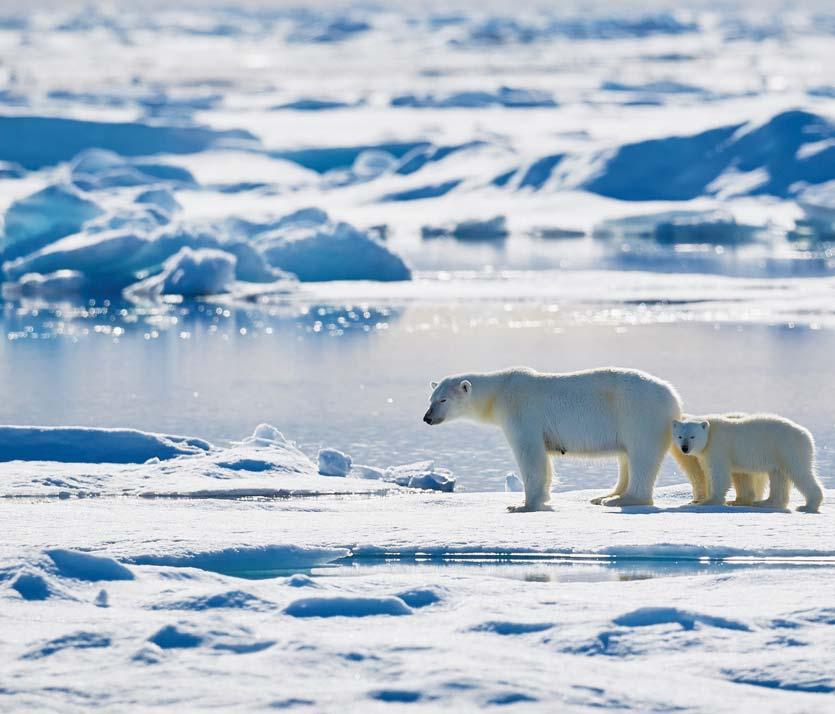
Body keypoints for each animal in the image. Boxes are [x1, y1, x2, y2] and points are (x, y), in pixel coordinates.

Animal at [422, 364, 696, 508]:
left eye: (443, 400)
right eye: (431, 398)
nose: (427, 418)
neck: (500, 392)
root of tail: (674, 398)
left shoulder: (522, 412)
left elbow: (531, 454)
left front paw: (523, 505)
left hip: (639, 414)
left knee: (641, 456)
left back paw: (623, 500)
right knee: (626, 457)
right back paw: (606, 495)